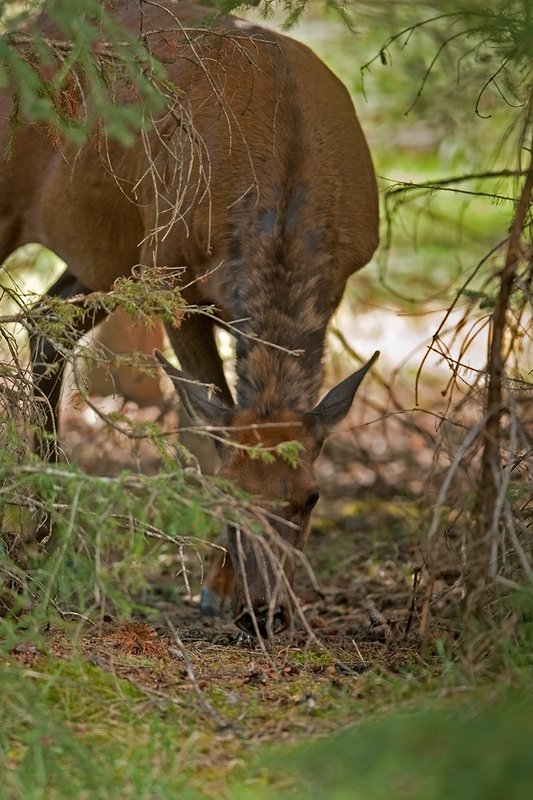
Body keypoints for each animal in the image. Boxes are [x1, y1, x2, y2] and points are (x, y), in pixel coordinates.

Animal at [0, 1, 379, 637]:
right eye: (231, 496)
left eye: (311, 498)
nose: (263, 614)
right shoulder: (172, 279)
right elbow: (204, 431)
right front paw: (212, 587)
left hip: (110, 256)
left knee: (46, 321)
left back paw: (45, 538)